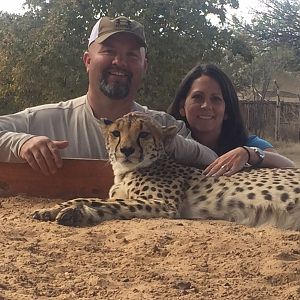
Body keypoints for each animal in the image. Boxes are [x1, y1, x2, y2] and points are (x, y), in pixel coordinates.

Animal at [32, 112, 300, 230]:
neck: (125, 171)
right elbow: (86, 198)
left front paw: (74, 213)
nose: (126, 150)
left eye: (143, 134)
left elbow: (107, 204)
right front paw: (51, 210)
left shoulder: (163, 204)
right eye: (116, 133)